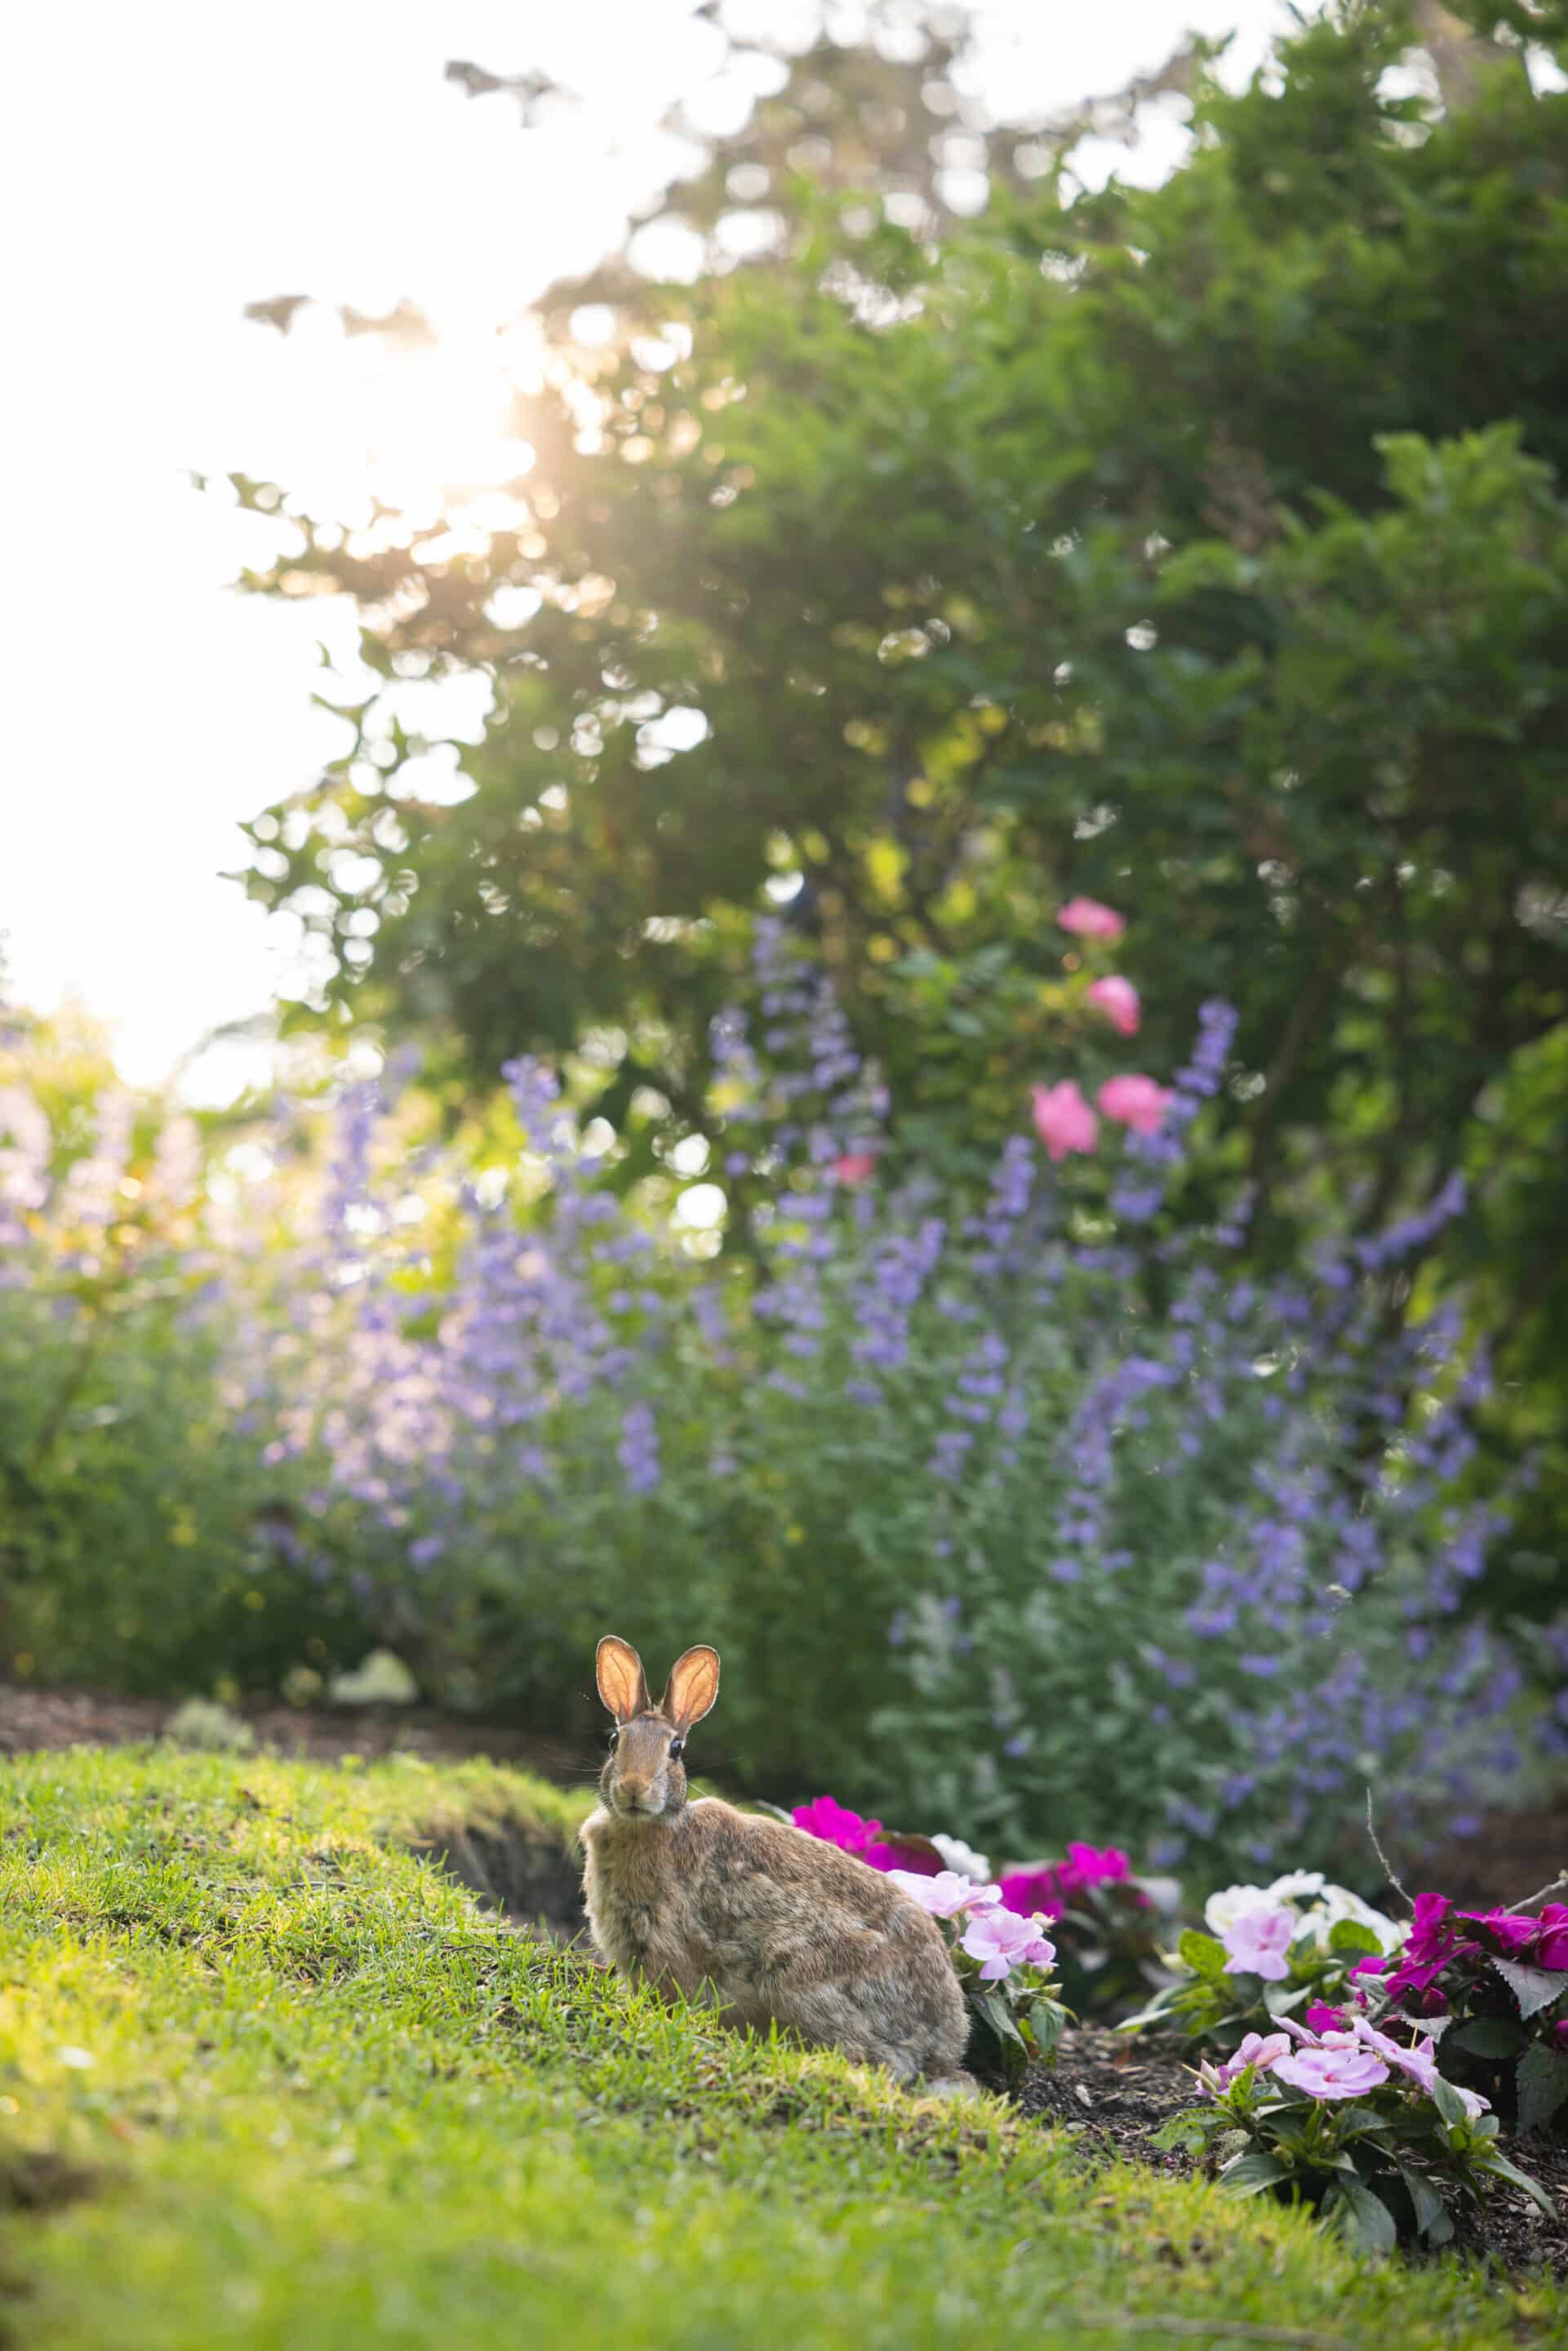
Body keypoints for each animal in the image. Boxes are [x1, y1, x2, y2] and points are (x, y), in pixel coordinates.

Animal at [579, 1634, 970, 2087]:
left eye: (675, 1750)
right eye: (614, 1741)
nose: (633, 1788)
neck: (652, 1826)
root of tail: (941, 2048)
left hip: (799, 1979)